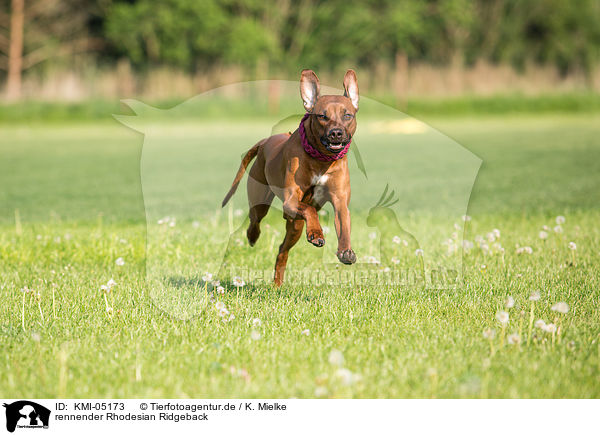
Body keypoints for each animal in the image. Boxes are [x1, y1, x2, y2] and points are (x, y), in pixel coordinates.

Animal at [223, 70, 358, 288]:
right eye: (322, 116)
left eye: (348, 115)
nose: (336, 133)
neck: (321, 159)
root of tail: (265, 142)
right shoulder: (291, 201)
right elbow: (310, 209)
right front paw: (317, 233)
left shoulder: (340, 202)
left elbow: (343, 224)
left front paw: (346, 251)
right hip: (262, 201)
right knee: (255, 219)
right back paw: (253, 237)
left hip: (295, 226)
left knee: (282, 250)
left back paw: (278, 282)